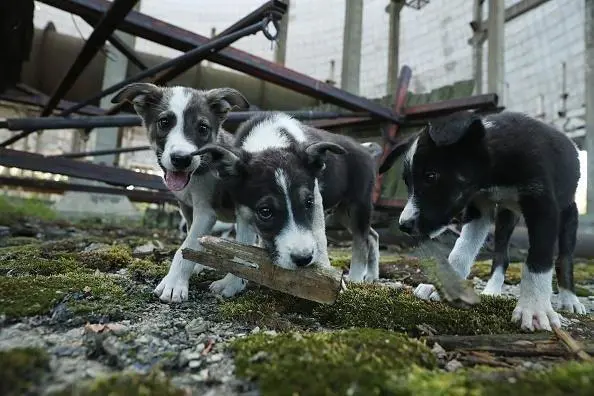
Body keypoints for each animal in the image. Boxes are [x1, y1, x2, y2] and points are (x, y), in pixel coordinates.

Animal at [110, 83, 253, 300]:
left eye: (203, 128)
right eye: (164, 122)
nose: (181, 159)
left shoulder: (205, 212)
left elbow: (185, 247)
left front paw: (174, 284)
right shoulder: (187, 208)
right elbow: (193, 242)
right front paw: (195, 265)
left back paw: (233, 281)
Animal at [376, 110, 584, 332]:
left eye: (431, 176)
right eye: (407, 182)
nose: (404, 225)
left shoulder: (543, 206)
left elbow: (539, 259)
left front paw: (534, 308)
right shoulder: (479, 207)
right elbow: (461, 251)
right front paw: (445, 286)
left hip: (568, 213)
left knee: (565, 258)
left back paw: (569, 299)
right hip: (506, 216)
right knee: (501, 255)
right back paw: (492, 290)